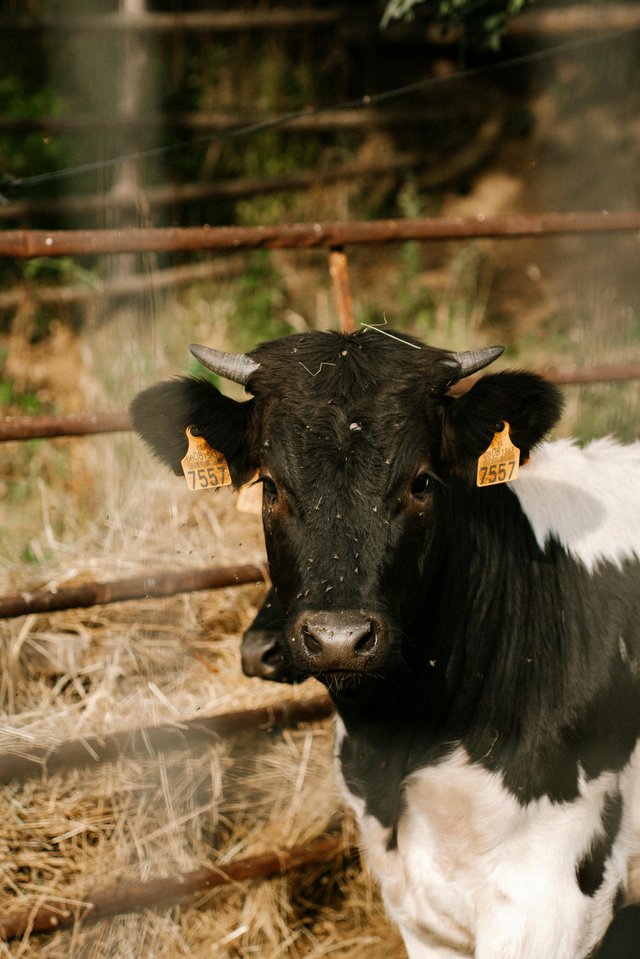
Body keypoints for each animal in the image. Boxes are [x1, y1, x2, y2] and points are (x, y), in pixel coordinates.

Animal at [130, 328, 640, 959]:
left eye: (422, 482)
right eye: (268, 484)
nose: (338, 639)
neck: (398, 745)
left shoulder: (550, 902)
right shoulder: (416, 905)